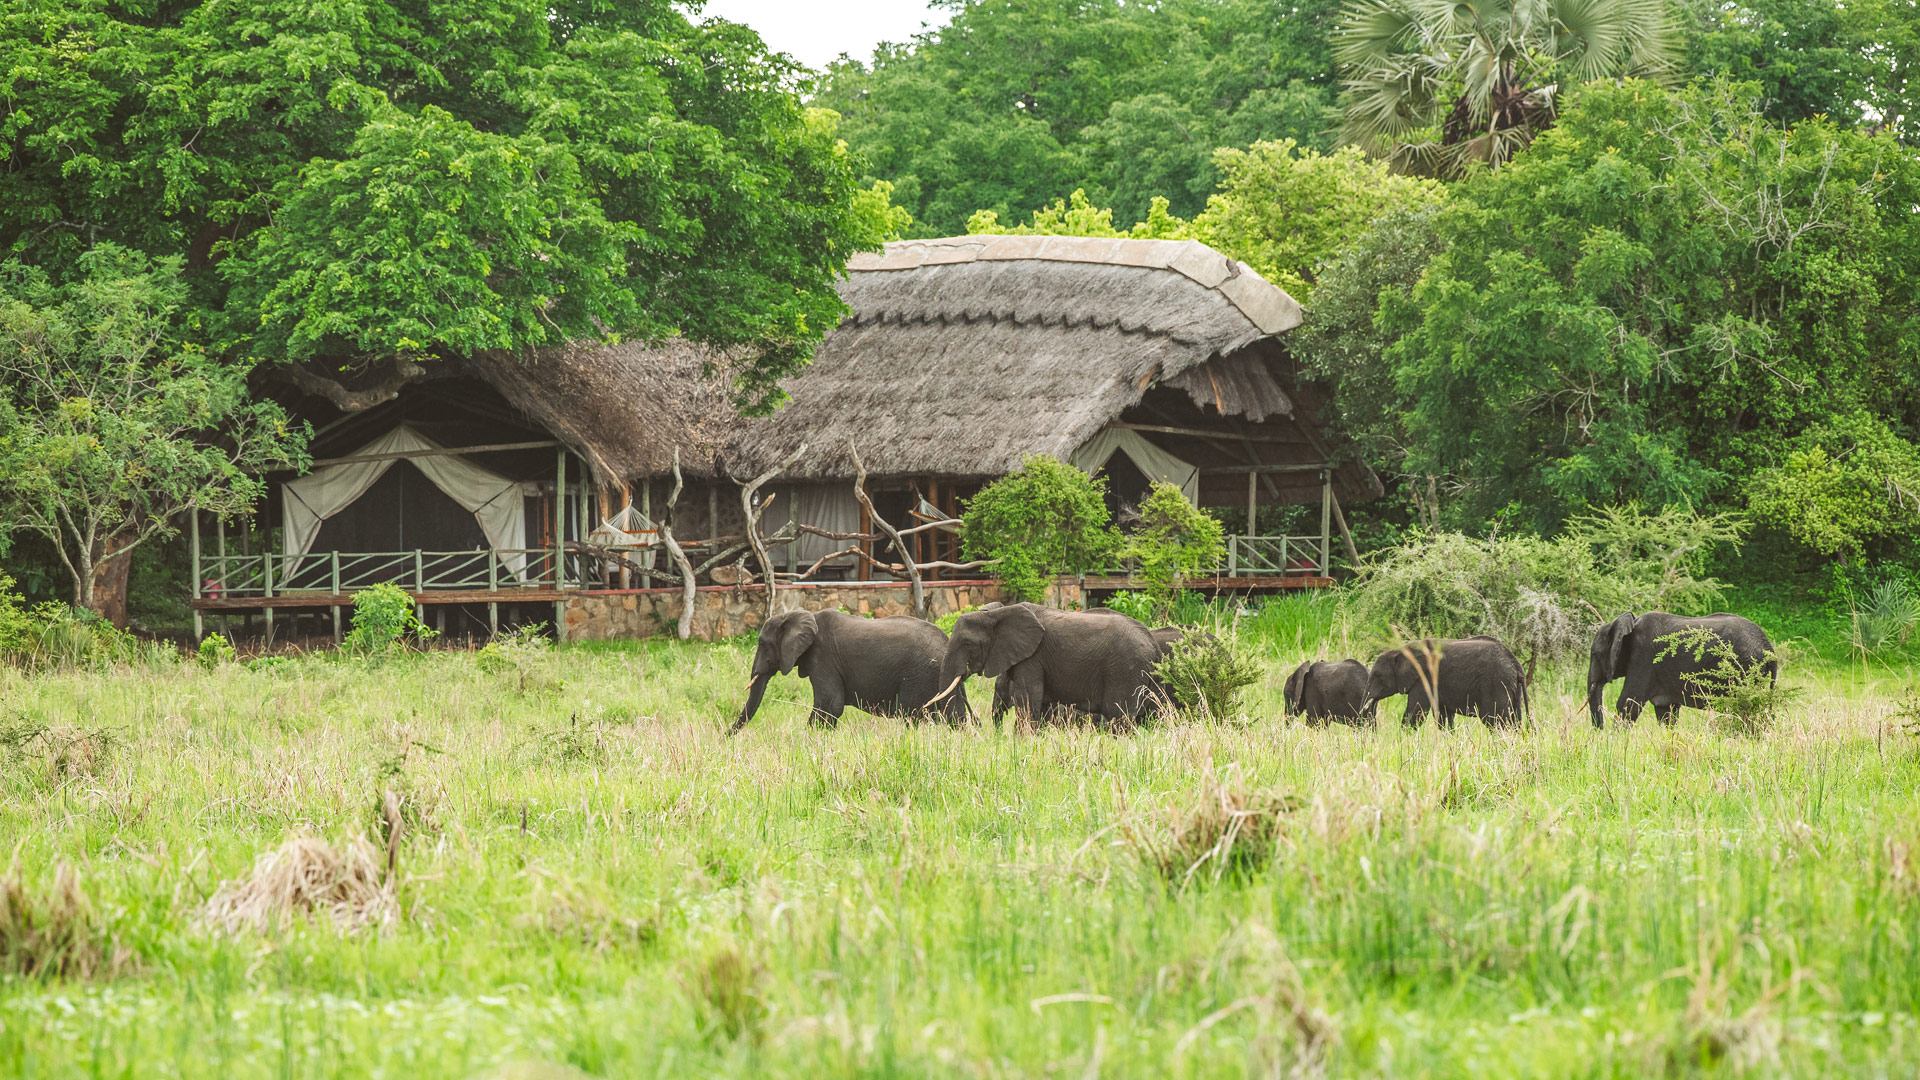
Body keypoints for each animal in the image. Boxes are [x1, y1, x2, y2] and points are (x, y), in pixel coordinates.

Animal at [732, 610, 965, 734]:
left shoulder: (823, 658)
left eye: (763, 644)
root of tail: (946, 643)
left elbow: (830, 704)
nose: (726, 738)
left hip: (920, 675)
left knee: (913, 714)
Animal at [936, 602, 1162, 728]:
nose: (977, 723)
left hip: (1125, 670)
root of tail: (1153, 644)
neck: (996, 614)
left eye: (967, 644)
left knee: (1119, 717)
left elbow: (1027, 702)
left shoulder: (1033, 657)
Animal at [1366, 636, 1528, 728]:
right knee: (1515, 719)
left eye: (1378, 675)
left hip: (1496, 683)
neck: (1400, 650)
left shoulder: (1424, 678)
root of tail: (1516, 664)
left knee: (1495, 720)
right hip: (1512, 688)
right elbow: (1443, 717)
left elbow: (1416, 713)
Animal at [1587, 611, 1776, 727]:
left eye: (1595, 654)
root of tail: (1768, 646)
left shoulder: (1642, 658)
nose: (1600, 731)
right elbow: (1666, 711)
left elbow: (1628, 703)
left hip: (1744, 667)